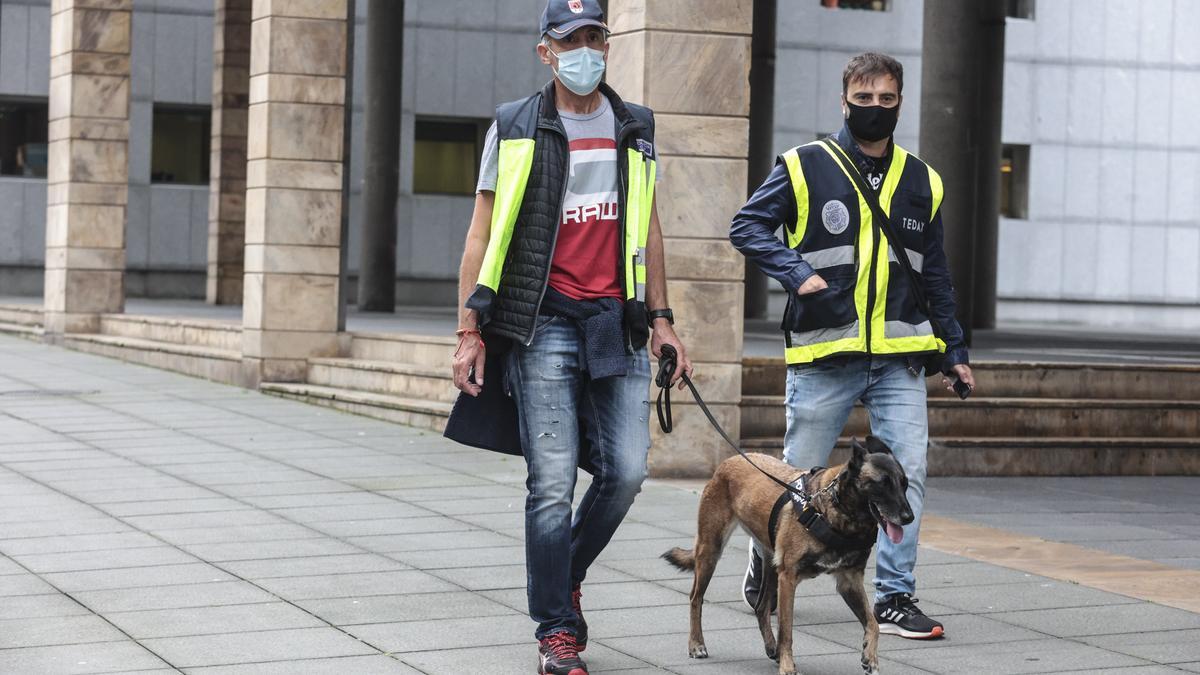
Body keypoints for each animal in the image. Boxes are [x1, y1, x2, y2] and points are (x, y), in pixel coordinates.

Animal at [667, 437, 907, 672]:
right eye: (882, 484)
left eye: (905, 484)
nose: (909, 517)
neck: (831, 511)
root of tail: (729, 461)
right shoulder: (788, 579)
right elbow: (787, 631)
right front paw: (787, 666)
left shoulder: (849, 582)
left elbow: (872, 623)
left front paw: (870, 657)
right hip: (711, 550)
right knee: (695, 598)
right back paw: (696, 644)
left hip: (770, 565)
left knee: (761, 607)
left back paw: (771, 647)